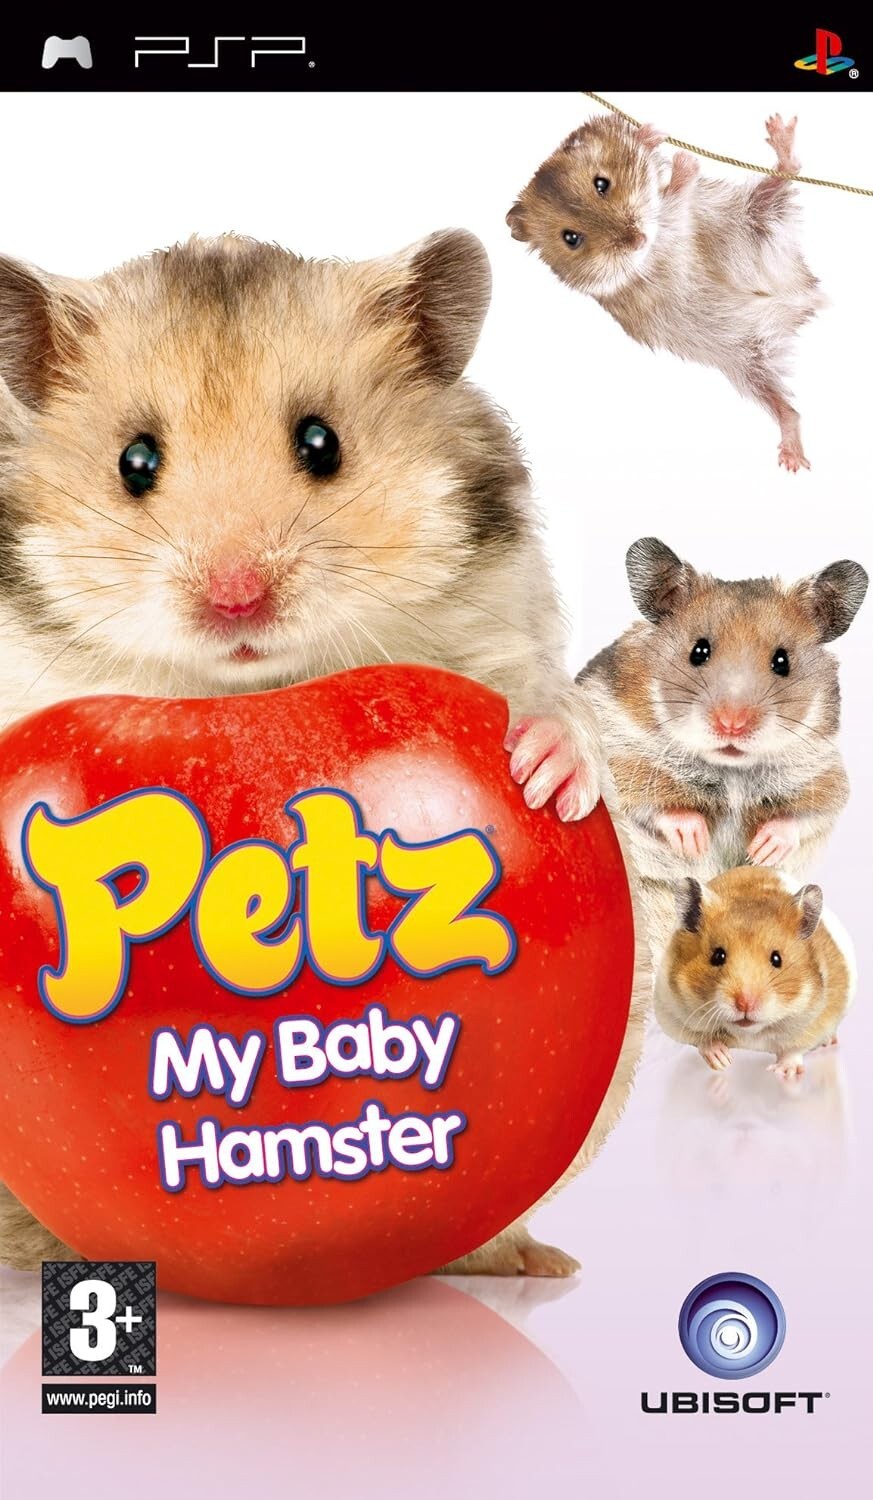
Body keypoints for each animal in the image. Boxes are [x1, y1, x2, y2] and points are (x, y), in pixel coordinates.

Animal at [0, 230, 640, 1281]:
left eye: (320, 443)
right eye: (135, 461)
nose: (236, 599)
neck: (247, 690)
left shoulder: (509, 630)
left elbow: (550, 697)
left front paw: (544, 765)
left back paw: (535, 1263)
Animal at [507, 112, 824, 471]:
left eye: (602, 184)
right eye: (571, 239)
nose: (638, 240)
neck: (654, 241)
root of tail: (800, 297)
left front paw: (652, 135)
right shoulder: (661, 238)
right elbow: (673, 198)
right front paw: (684, 161)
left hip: (754, 216)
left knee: (784, 174)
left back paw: (778, 129)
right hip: (749, 362)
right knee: (786, 409)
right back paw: (792, 459)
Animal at [577, 537, 867, 957]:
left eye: (782, 661)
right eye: (699, 651)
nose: (732, 723)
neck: (731, 770)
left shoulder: (825, 777)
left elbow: (804, 817)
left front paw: (763, 850)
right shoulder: (620, 760)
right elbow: (653, 807)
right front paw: (694, 843)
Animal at [655, 868, 856, 1080]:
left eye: (777, 959)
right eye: (718, 956)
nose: (745, 1004)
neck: (748, 1032)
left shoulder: (817, 1020)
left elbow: (793, 1050)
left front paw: (783, 1073)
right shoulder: (671, 1013)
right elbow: (702, 1040)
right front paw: (722, 1061)